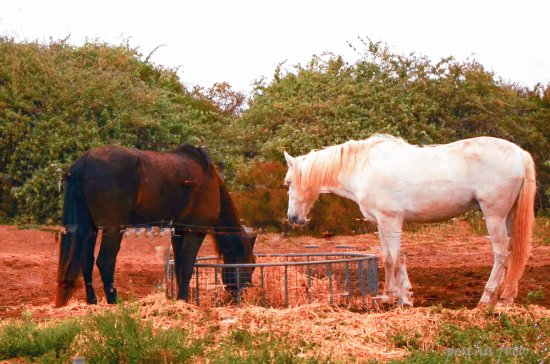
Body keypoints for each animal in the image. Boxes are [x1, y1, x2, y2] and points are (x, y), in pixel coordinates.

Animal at [55, 144, 254, 306]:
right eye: (250, 265)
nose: (241, 296)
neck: (210, 179)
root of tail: (84, 162)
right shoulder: (195, 231)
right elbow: (187, 266)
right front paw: (183, 299)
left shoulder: (179, 231)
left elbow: (180, 266)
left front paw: (181, 300)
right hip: (113, 229)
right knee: (105, 261)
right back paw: (113, 300)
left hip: (89, 230)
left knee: (86, 262)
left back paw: (92, 301)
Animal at [286, 135, 536, 306]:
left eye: (288, 182)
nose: (293, 218)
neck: (364, 168)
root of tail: (519, 153)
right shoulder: (382, 223)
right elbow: (390, 257)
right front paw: (396, 295)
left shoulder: (390, 221)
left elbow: (393, 260)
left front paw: (397, 298)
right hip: (508, 218)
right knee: (513, 253)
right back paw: (505, 298)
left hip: (493, 216)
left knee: (501, 254)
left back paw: (486, 298)